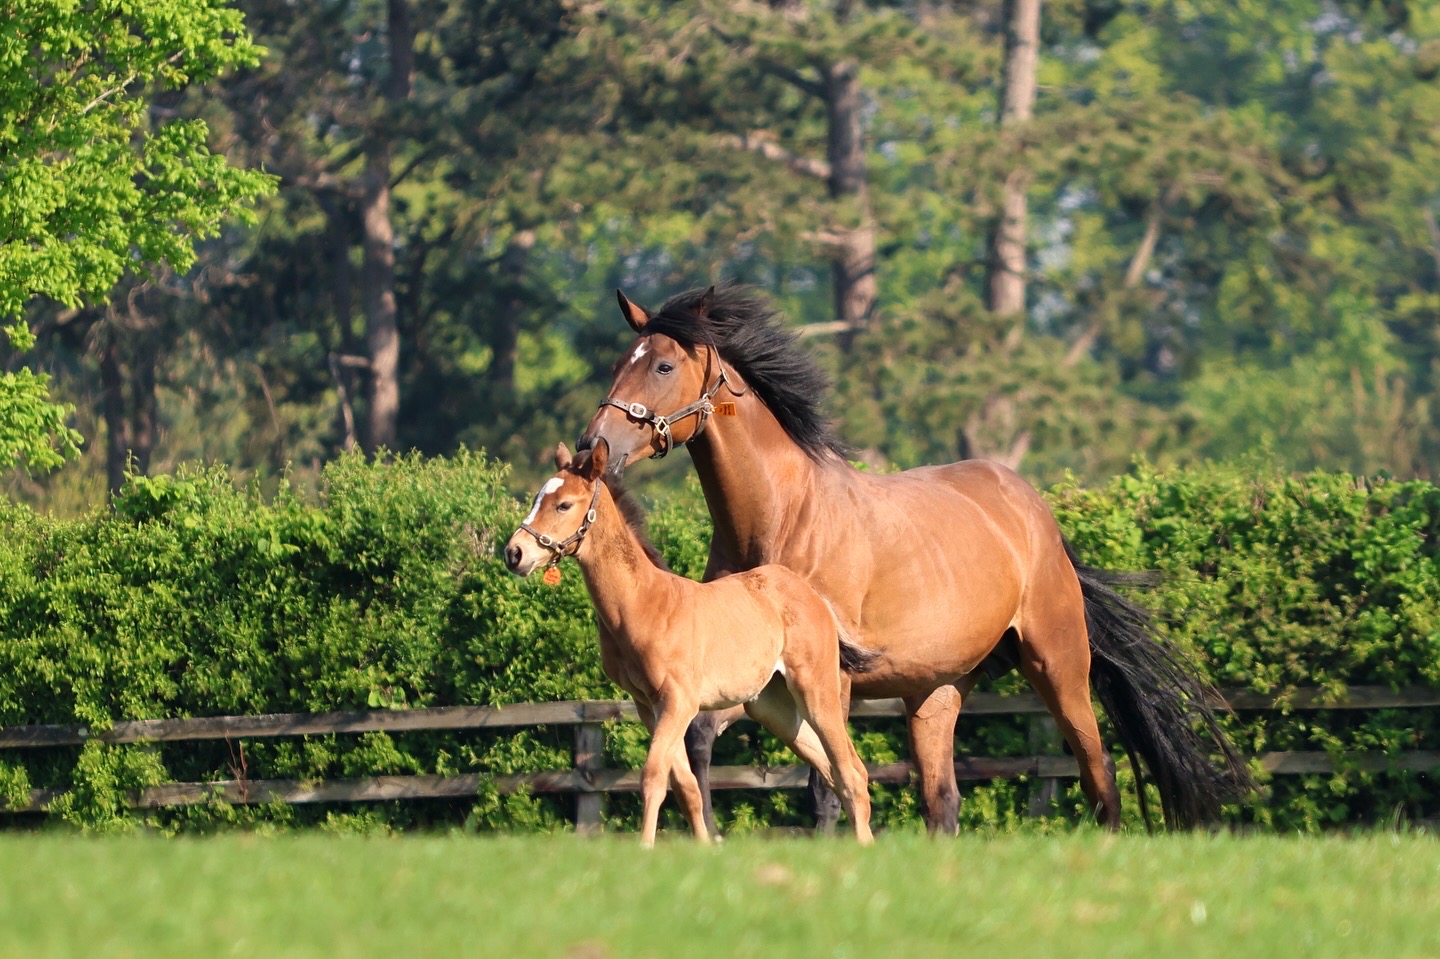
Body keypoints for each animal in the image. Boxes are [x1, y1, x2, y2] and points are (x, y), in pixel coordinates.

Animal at [503, 438, 878, 846]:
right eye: (536, 498)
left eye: (564, 505)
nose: (514, 553)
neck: (645, 603)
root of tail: (813, 595)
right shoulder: (649, 705)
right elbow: (686, 787)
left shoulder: (677, 701)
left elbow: (653, 777)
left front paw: (645, 849)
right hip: (773, 707)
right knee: (837, 769)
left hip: (815, 690)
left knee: (850, 772)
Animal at [576, 283, 1254, 834]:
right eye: (618, 364)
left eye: (664, 364)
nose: (594, 447)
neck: (782, 517)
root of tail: (1036, 514)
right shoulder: (746, 673)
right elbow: (698, 740)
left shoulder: (830, 678)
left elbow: (827, 784)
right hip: (938, 691)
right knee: (943, 800)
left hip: (1058, 665)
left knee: (1098, 770)